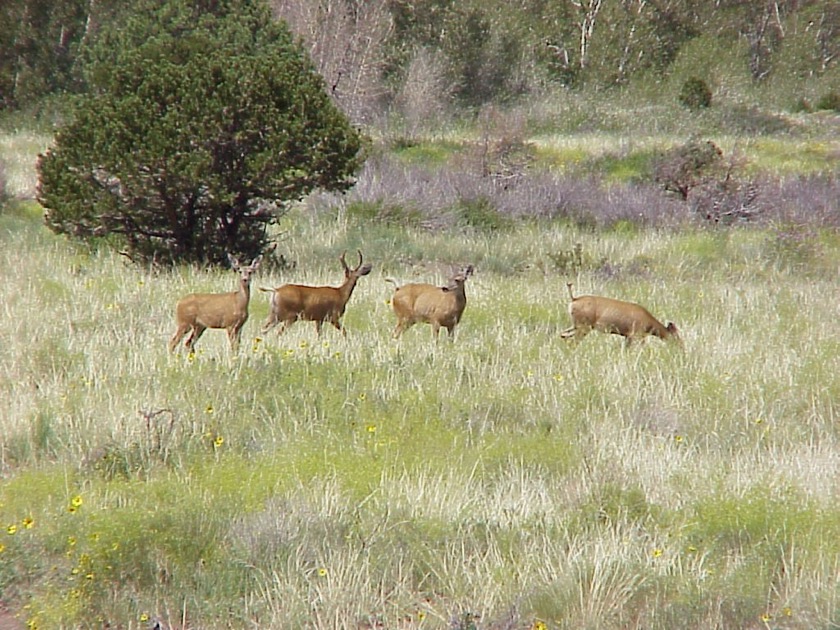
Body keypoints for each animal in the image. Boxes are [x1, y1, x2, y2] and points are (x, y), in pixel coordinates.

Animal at [556, 284, 684, 348]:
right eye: (676, 337)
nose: (682, 348)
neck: (649, 323)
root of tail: (574, 299)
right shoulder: (636, 334)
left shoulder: (628, 336)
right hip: (584, 327)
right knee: (572, 342)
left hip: (577, 325)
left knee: (563, 335)